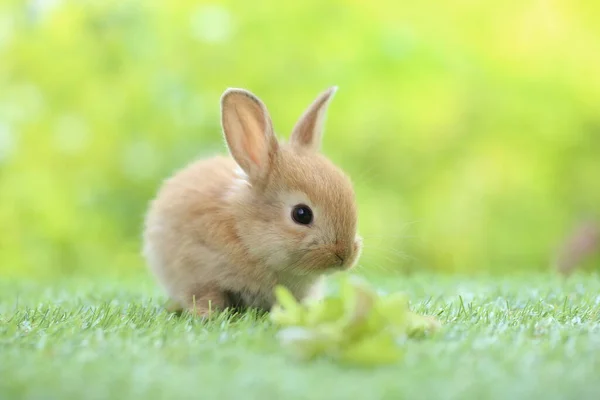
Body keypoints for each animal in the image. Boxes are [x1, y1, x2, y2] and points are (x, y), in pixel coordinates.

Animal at [143, 86, 364, 316]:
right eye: (301, 214)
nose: (345, 255)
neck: (244, 234)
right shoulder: (198, 272)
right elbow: (206, 296)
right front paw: (205, 314)